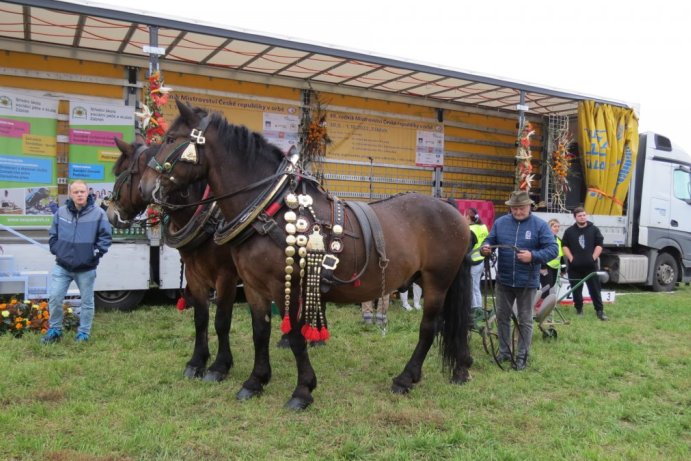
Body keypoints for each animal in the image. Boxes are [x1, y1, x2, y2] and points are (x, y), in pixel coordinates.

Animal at [108, 137, 243, 380]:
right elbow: (200, 318)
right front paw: (197, 362)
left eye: (120, 173)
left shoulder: (226, 277)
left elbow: (222, 321)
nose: (110, 214)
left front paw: (220, 366)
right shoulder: (194, 273)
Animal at [141, 100, 476, 410]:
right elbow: (260, 331)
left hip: (437, 281)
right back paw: (460, 369)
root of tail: (450, 208)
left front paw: (302, 390)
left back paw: (406, 378)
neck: (269, 208)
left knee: (429, 328)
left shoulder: (285, 285)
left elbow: (296, 336)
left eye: (171, 139)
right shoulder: (252, 286)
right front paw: (255, 381)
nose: (146, 187)